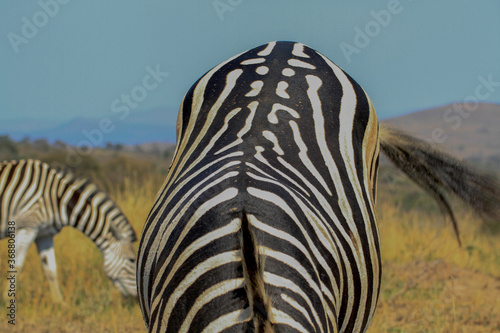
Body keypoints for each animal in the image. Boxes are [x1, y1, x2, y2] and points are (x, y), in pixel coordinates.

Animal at [0, 158, 138, 300]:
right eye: (132, 260)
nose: (137, 297)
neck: (57, 199)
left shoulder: (44, 234)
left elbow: (51, 269)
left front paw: (59, 301)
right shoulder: (27, 227)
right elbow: (17, 265)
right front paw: (7, 298)